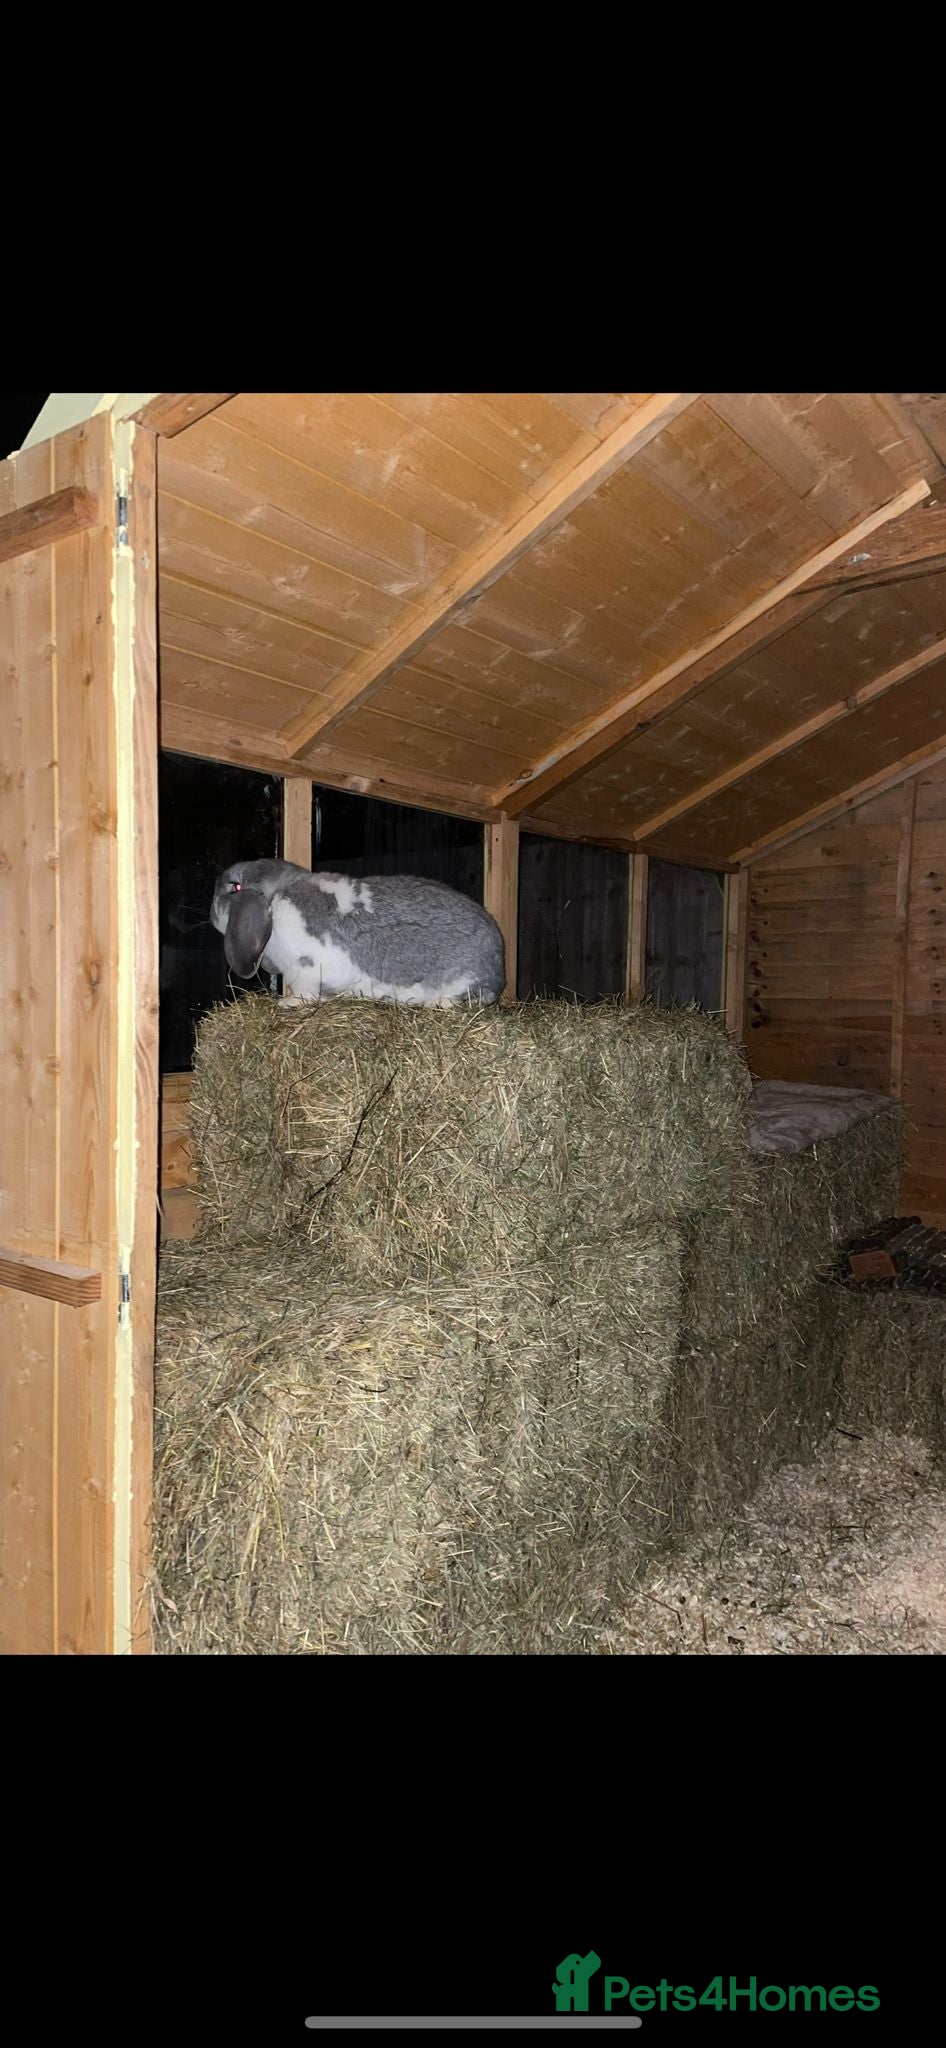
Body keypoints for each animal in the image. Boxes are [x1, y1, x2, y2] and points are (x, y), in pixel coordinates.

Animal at [210, 858, 506, 1008]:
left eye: (234, 887)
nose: (211, 915)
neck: (275, 899)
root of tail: (498, 969)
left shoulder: (310, 968)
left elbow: (307, 991)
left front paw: (288, 1003)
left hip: (464, 980)